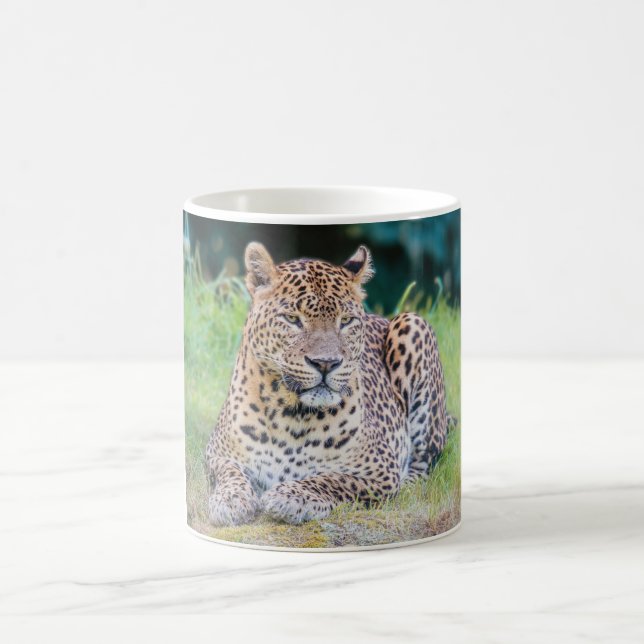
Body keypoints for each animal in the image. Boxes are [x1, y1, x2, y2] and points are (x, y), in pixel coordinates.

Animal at [205, 242, 453, 526]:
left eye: (345, 321)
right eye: (292, 319)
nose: (325, 363)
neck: (291, 417)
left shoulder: (380, 471)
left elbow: (333, 480)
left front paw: (291, 497)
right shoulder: (216, 453)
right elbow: (229, 472)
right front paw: (229, 500)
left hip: (414, 325)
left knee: (423, 463)